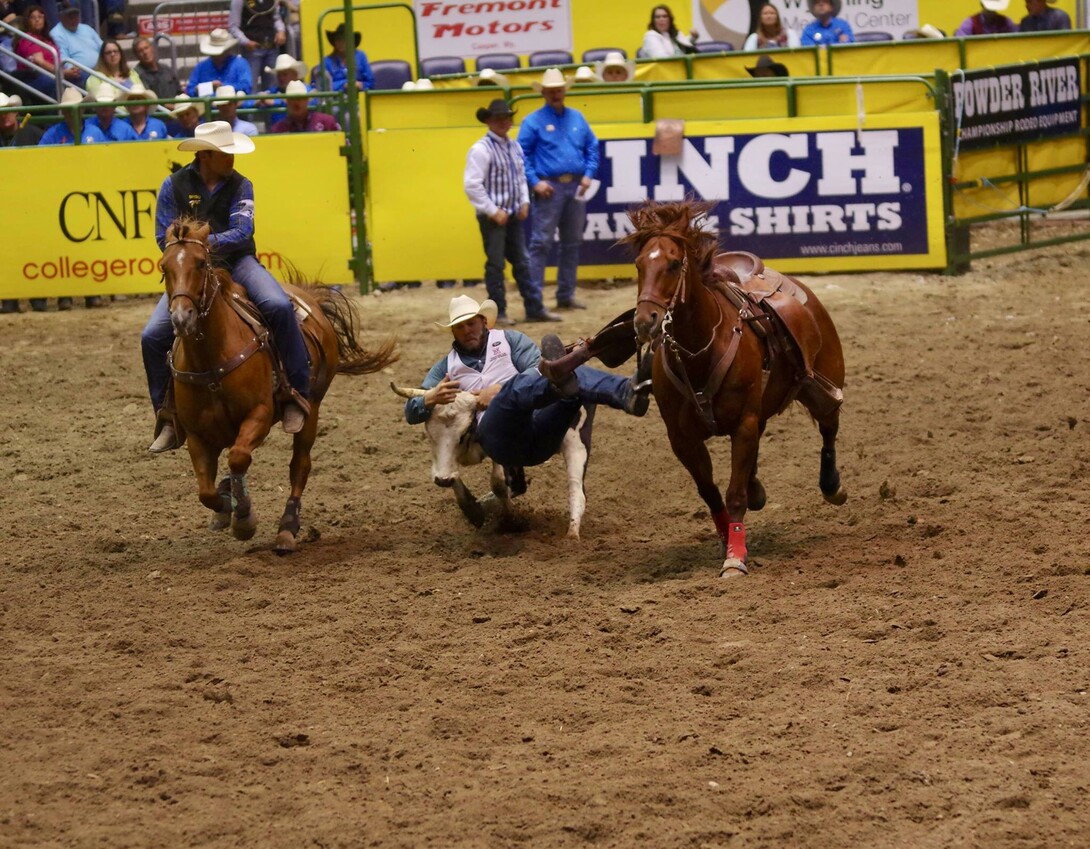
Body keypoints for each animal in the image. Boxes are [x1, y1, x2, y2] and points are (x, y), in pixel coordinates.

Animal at [159, 215, 398, 553]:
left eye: (202, 262)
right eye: (164, 267)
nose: (182, 318)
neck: (211, 358)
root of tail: (308, 296)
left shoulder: (258, 415)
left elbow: (238, 457)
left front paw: (244, 518)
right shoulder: (196, 435)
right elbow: (207, 491)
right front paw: (225, 507)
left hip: (312, 409)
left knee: (300, 465)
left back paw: (287, 528)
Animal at [627, 200, 845, 579]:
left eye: (673, 263)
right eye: (640, 263)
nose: (645, 322)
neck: (701, 348)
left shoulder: (743, 423)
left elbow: (735, 495)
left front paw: (735, 558)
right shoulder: (682, 439)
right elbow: (711, 492)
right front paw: (726, 538)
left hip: (825, 381)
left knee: (829, 427)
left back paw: (832, 485)